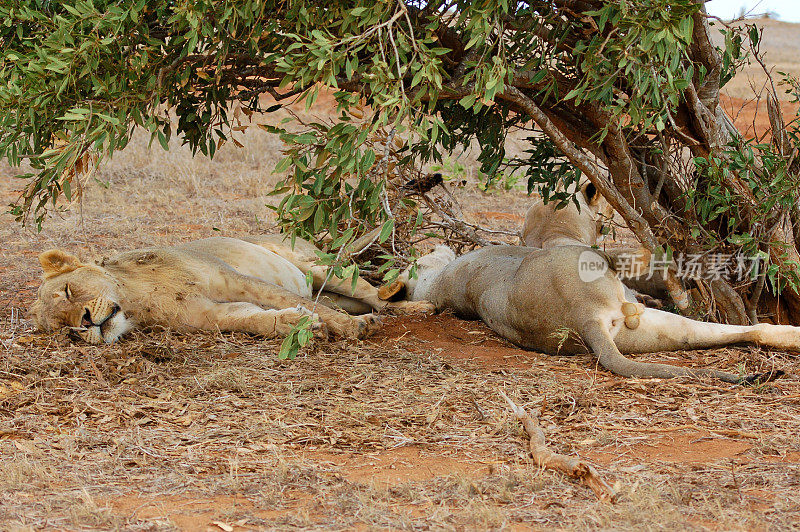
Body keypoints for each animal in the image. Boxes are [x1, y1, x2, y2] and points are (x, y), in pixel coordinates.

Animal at [29, 234, 432, 342]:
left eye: (68, 292)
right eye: (65, 332)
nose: (84, 323)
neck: (135, 300)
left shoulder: (234, 280)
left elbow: (288, 300)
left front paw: (350, 329)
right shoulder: (209, 315)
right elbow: (253, 320)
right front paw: (295, 324)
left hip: (316, 266)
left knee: (371, 294)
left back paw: (415, 308)